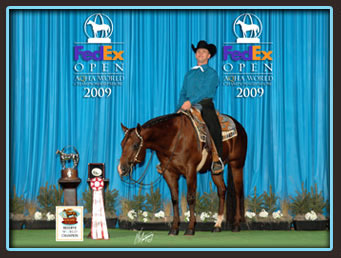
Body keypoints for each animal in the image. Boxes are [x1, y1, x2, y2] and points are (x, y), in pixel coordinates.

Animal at [118, 112, 246, 235]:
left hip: (237, 165)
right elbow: (174, 199)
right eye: (122, 144)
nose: (121, 169)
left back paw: (236, 225)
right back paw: (217, 226)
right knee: (222, 190)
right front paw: (174, 229)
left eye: (135, 145)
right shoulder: (169, 173)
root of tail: (239, 126)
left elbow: (190, 198)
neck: (174, 139)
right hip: (216, 171)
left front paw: (190, 228)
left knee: (238, 192)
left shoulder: (190, 171)